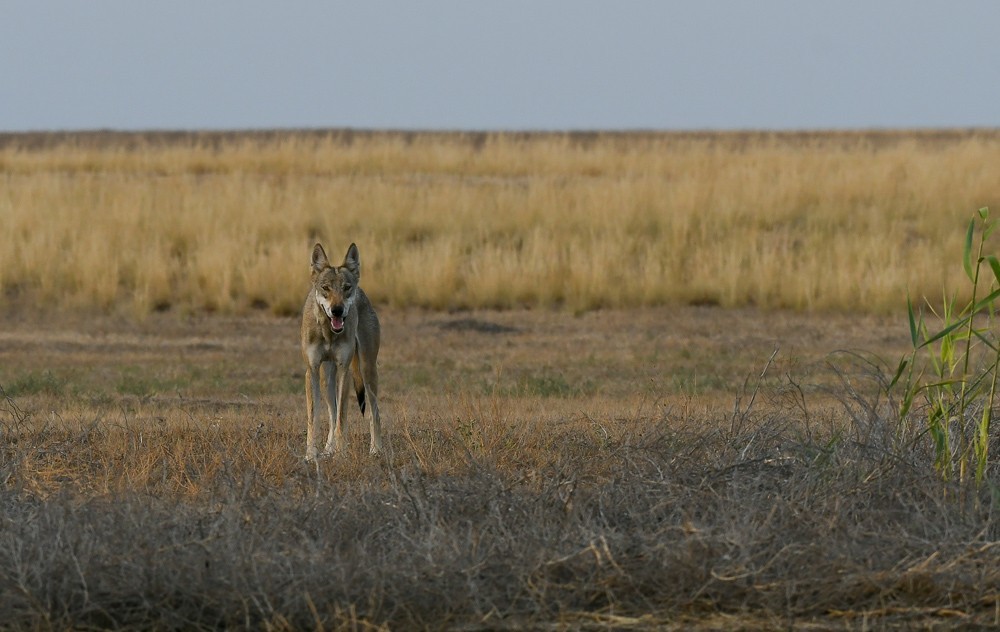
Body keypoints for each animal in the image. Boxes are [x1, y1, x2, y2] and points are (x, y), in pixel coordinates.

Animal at [298, 243, 380, 460]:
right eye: (325, 288)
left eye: (346, 288)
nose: (337, 310)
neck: (328, 333)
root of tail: (363, 292)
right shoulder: (312, 371)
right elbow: (315, 418)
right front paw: (311, 454)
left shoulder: (344, 369)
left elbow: (343, 416)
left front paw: (341, 453)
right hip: (327, 379)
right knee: (332, 414)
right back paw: (329, 449)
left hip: (368, 372)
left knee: (374, 413)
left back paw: (376, 449)